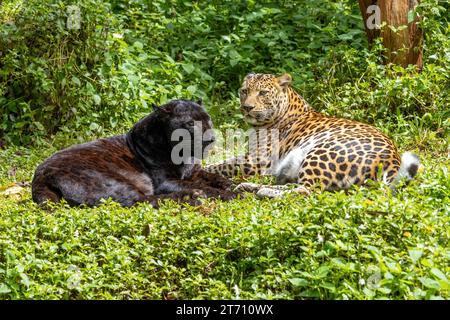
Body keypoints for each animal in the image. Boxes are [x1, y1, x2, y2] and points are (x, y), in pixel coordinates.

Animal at [206, 73, 420, 198]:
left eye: (263, 93)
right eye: (244, 91)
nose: (247, 107)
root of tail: (393, 161)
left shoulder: (258, 160)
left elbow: (222, 165)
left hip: (321, 151)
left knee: (307, 189)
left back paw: (261, 190)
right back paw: (250, 187)